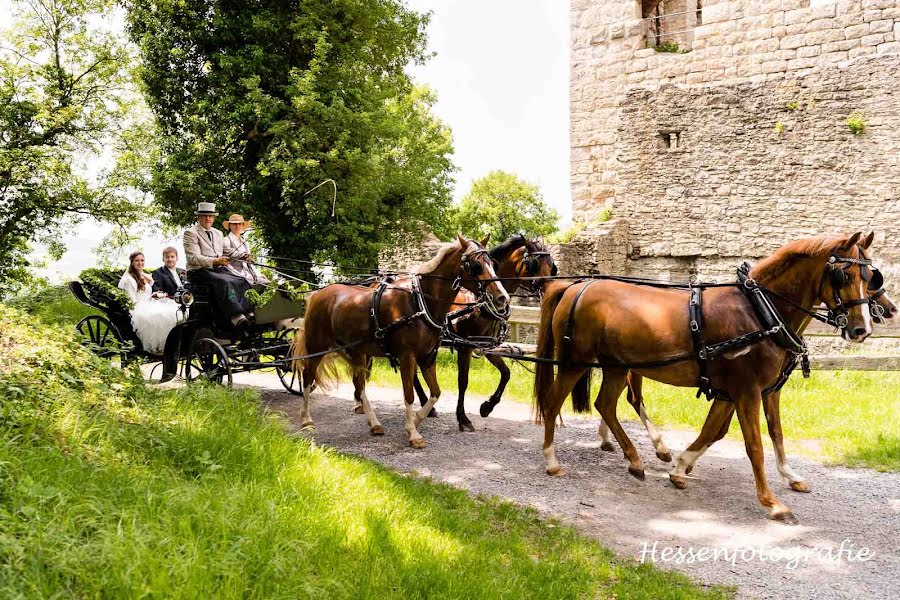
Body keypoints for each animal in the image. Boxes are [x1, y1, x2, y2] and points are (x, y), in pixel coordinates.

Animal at [294, 237, 506, 448]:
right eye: (476, 266)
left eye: (493, 263)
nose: (502, 297)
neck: (420, 303)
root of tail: (318, 294)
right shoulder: (407, 356)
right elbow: (409, 394)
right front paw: (413, 433)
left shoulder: (428, 357)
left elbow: (436, 393)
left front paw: (418, 419)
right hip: (317, 346)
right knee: (308, 377)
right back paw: (306, 419)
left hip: (357, 351)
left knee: (359, 384)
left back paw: (374, 423)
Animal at [408, 234, 556, 432]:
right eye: (534, 265)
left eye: (551, 265)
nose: (551, 291)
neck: (480, 302)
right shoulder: (465, 346)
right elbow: (463, 380)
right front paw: (463, 418)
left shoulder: (486, 346)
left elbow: (506, 373)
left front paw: (487, 406)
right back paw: (427, 405)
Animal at [536, 232, 880, 524]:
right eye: (843, 275)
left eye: (869, 277)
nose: (862, 329)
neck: (759, 311)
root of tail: (576, 286)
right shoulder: (746, 391)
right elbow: (753, 445)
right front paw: (771, 502)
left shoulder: (755, 391)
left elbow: (754, 433)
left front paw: (682, 466)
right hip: (575, 363)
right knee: (553, 403)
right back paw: (552, 461)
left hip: (617, 367)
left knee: (606, 404)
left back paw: (634, 459)